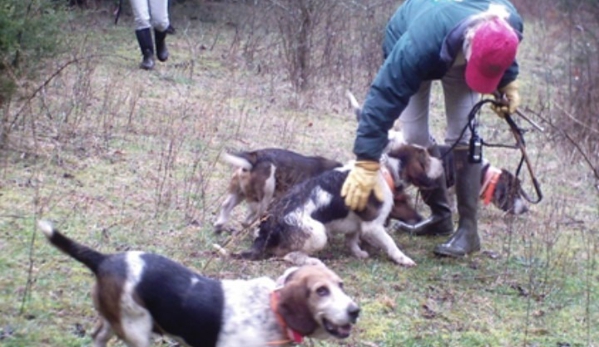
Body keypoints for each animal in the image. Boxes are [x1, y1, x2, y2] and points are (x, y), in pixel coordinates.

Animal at [39, 222, 364, 346]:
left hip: (112, 320)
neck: (272, 310)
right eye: (321, 291)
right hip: (137, 331)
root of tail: (105, 258)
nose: (355, 311)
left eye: (341, 285)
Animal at [237, 143, 442, 268]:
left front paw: (358, 252)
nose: (442, 162)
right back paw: (311, 261)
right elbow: (390, 243)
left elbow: (352, 238)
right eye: (426, 158)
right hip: (318, 234)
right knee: (283, 254)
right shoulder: (373, 226)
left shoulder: (357, 223)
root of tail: (269, 223)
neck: (385, 172)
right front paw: (403, 259)